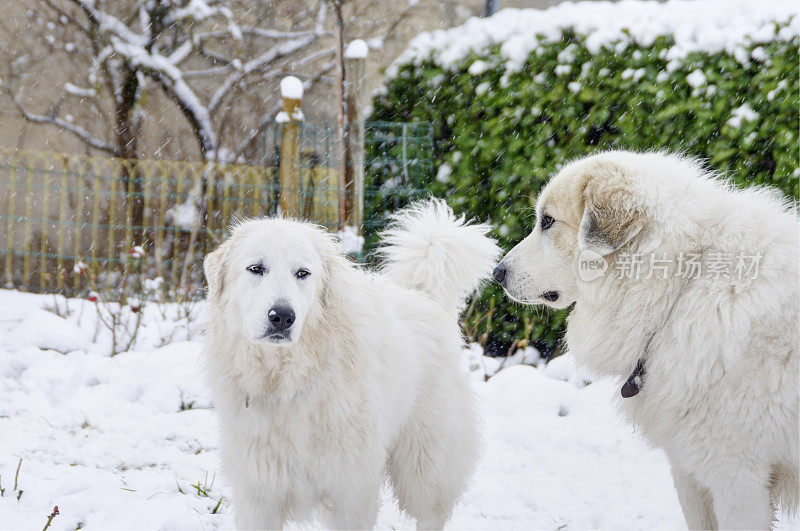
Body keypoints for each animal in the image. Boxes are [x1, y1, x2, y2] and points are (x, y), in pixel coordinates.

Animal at [202, 201, 500, 531]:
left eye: (302, 273)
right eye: (256, 269)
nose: (282, 316)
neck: (287, 378)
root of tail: (423, 295)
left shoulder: (352, 490)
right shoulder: (260, 494)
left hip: (425, 467)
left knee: (430, 514)